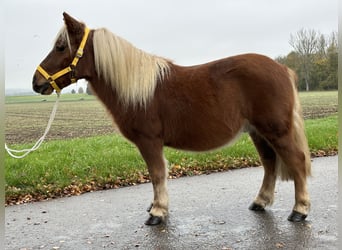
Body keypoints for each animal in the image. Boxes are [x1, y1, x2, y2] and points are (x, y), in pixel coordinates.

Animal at [33, 12, 312, 226]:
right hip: (258, 132)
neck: (138, 89)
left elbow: (157, 174)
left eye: (61, 47)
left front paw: (157, 212)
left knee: (296, 162)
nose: (36, 83)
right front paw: (156, 207)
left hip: (277, 131)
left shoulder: (149, 141)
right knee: (269, 163)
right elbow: (156, 175)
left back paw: (299, 210)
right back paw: (260, 202)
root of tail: (283, 69)